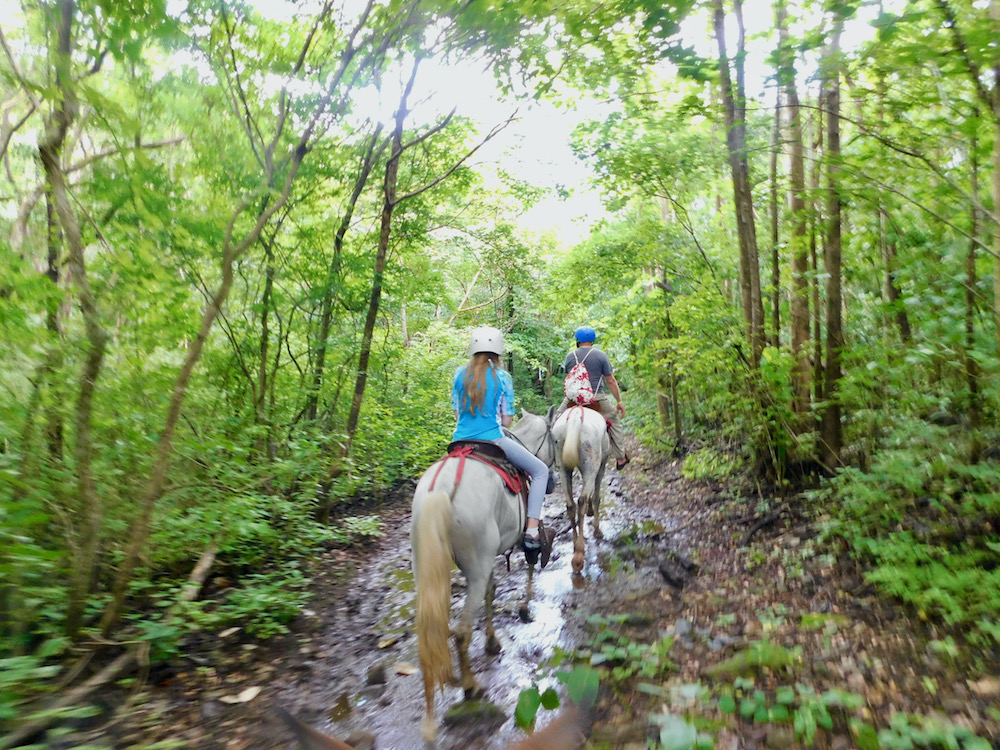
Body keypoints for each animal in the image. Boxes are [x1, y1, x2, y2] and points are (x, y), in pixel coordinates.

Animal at [412, 412, 556, 748]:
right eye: (555, 440)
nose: (553, 482)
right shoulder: (500, 551)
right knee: (462, 632)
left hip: (424, 568)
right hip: (475, 564)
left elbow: (492, 591)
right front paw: (523, 610)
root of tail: (440, 489)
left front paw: (492, 641)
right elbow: (528, 562)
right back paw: (470, 687)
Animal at [548, 408, 608, 572]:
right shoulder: (601, 467)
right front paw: (597, 529)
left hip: (563, 468)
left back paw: (575, 544)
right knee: (581, 501)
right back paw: (579, 555)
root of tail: (575, 419)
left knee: (570, 504)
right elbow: (596, 497)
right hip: (591, 465)